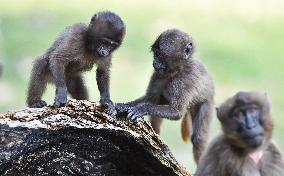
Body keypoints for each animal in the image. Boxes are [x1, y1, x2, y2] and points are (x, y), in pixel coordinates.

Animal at [116, 28, 215, 162]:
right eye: (155, 53)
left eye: (160, 55)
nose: (154, 62)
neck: (177, 70)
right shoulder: (159, 75)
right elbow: (150, 99)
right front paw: (123, 105)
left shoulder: (184, 80)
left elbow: (176, 112)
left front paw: (141, 108)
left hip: (207, 102)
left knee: (198, 138)